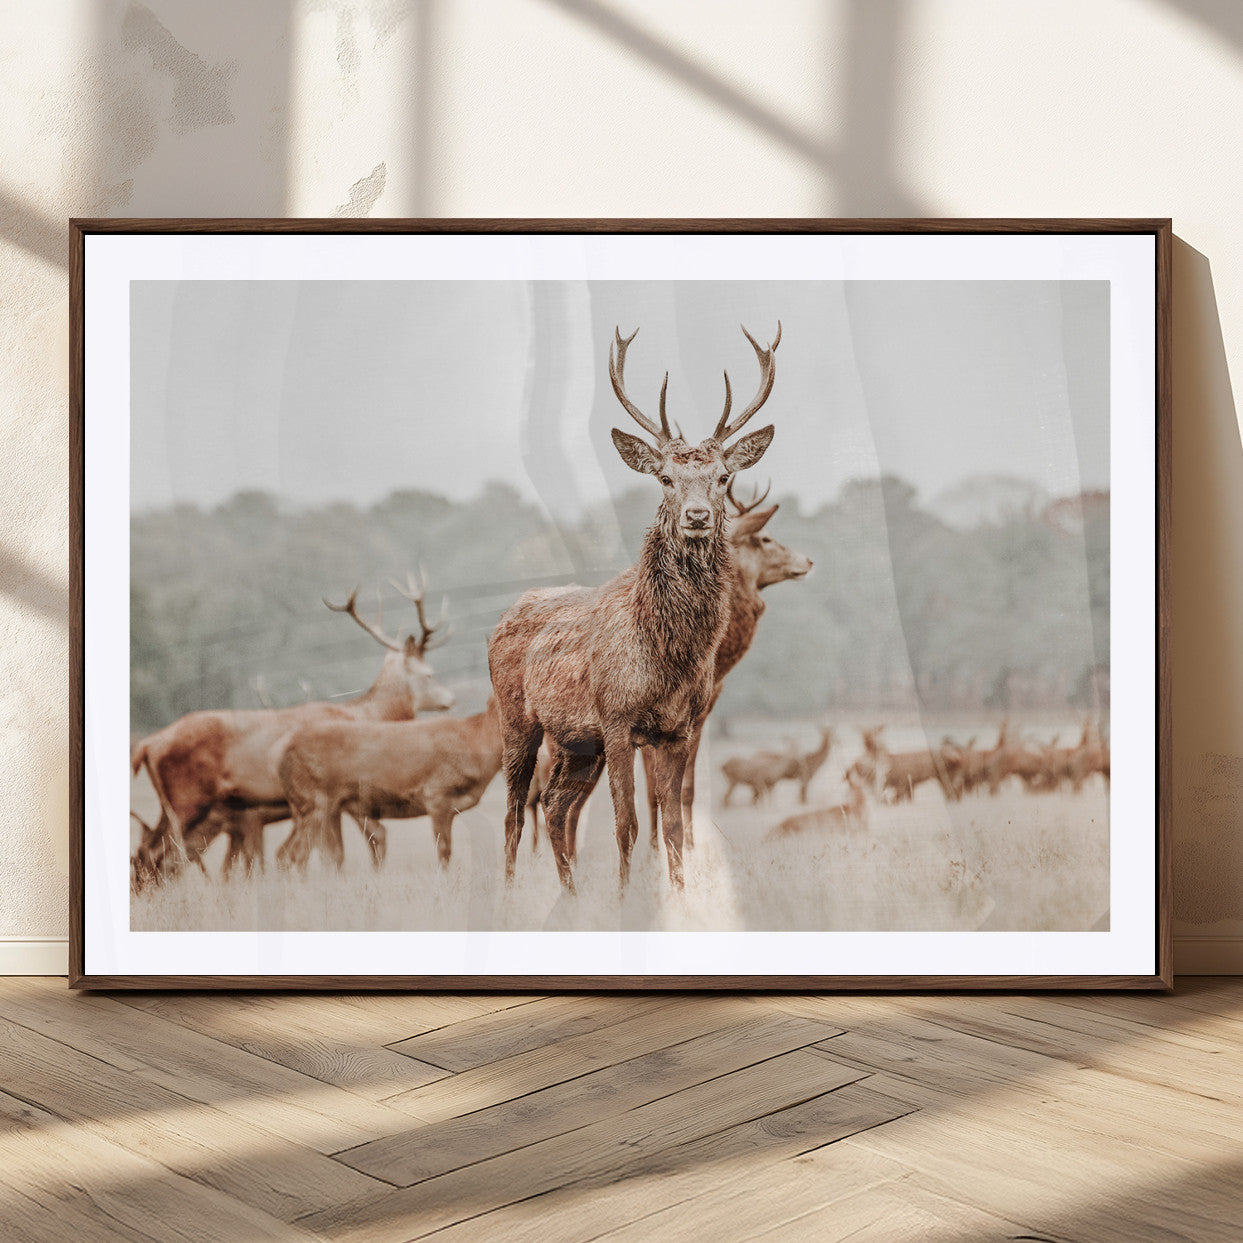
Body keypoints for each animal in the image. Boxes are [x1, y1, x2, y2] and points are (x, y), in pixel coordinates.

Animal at [129, 576, 453, 887]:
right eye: (429, 674)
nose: (450, 699)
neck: (367, 716)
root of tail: (148, 745)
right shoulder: (343, 793)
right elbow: (348, 847)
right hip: (187, 799)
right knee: (157, 853)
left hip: (176, 805)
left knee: (155, 852)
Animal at [277, 699, 502, 871]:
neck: (476, 744)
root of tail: (284, 757)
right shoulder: (436, 794)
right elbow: (444, 851)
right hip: (315, 801)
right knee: (296, 853)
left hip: (309, 806)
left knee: (291, 853)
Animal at [488, 322, 781, 892]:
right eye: (665, 478)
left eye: (723, 477)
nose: (696, 515)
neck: (666, 656)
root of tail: (503, 617)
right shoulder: (618, 719)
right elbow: (627, 824)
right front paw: (625, 896)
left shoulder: (677, 729)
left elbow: (673, 824)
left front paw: (679, 894)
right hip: (519, 720)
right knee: (514, 812)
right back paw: (510, 893)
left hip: (576, 742)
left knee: (554, 805)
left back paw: (570, 893)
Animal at [638, 479, 812, 850]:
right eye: (765, 538)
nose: (807, 560)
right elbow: (655, 788)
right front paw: (657, 852)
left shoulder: (703, 710)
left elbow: (685, 786)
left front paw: (687, 846)